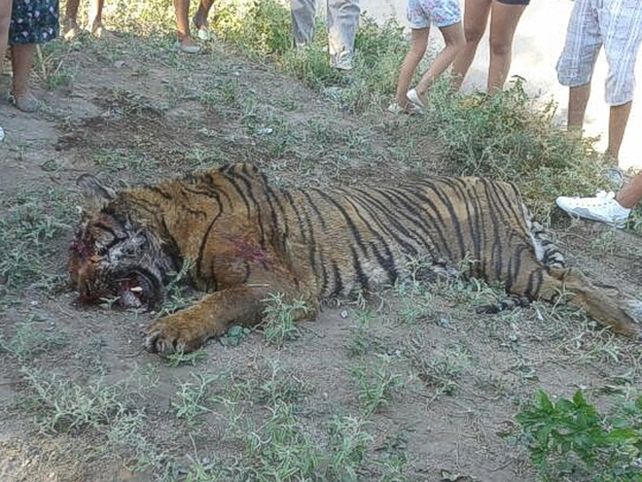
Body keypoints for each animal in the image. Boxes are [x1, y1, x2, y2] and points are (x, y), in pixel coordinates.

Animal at [68, 163, 642, 355]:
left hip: (506, 262)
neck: (171, 225)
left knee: (574, 289)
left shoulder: (279, 286)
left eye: (92, 250)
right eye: (72, 269)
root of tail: (500, 181)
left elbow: (216, 304)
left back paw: (626, 325)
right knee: (580, 276)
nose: (83, 295)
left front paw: (170, 331)